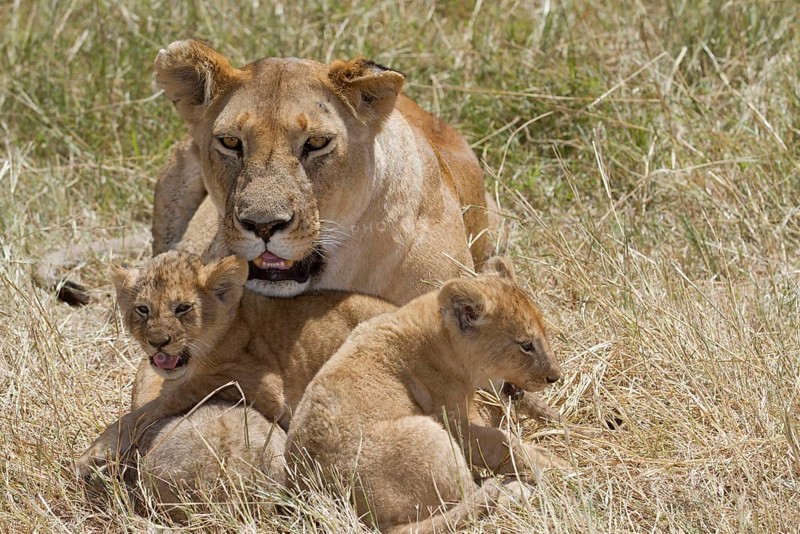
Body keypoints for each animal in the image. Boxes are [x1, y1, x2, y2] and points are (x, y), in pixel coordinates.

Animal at [75, 250, 395, 477]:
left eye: (183, 308)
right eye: (142, 309)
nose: (158, 342)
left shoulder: (260, 385)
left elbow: (166, 400)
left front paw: (99, 449)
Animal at [285, 257, 565, 533]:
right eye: (526, 345)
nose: (555, 376)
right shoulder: (454, 424)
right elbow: (501, 443)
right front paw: (553, 463)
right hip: (427, 433)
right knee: (470, 499)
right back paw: (518, 489)